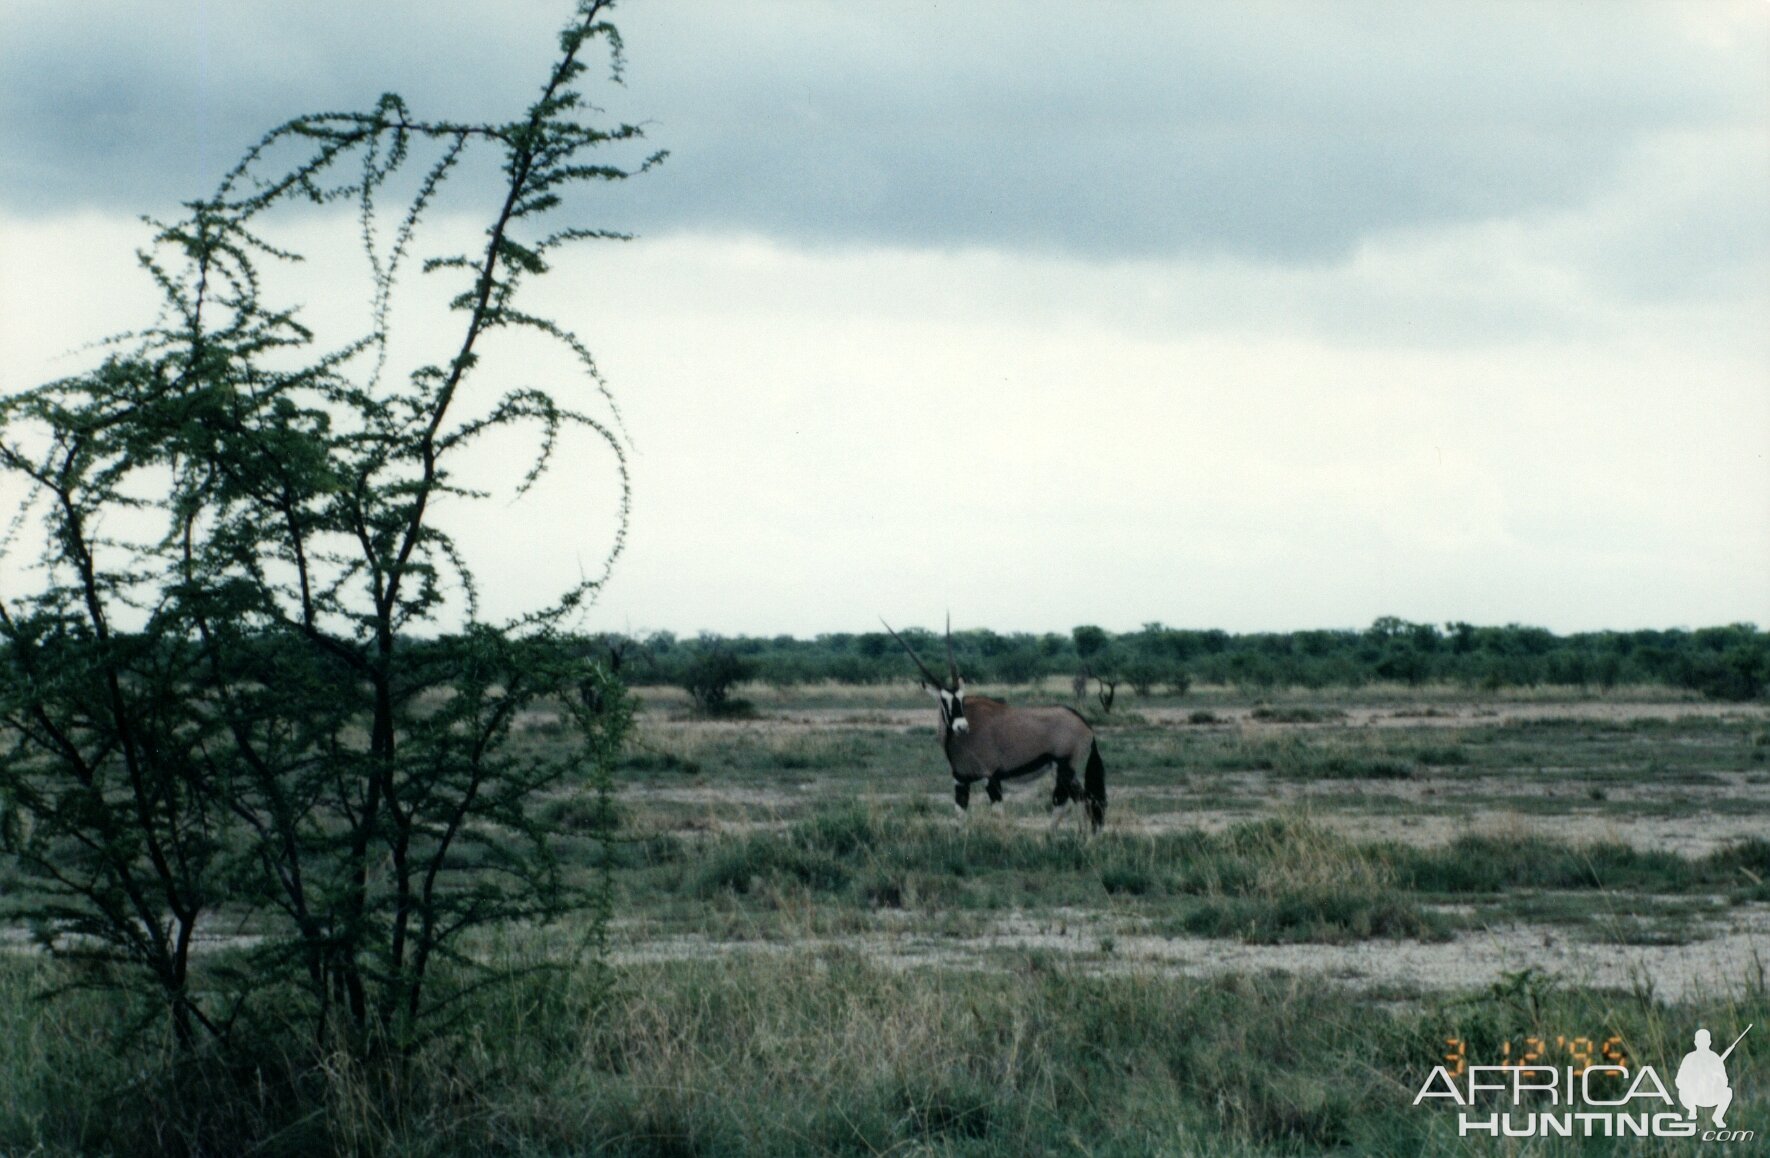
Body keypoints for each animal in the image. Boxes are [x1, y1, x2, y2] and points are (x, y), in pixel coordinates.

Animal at [885, 623, 1104, 828]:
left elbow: (998, 816)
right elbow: (959, 819)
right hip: (1066, 773)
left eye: (961, 698)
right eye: (943, 700)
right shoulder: (960, 781)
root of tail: (1084, 723)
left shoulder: (990, 778)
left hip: (1064, 769)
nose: (962, 727)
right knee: (1078, 801)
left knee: (1072, 802)